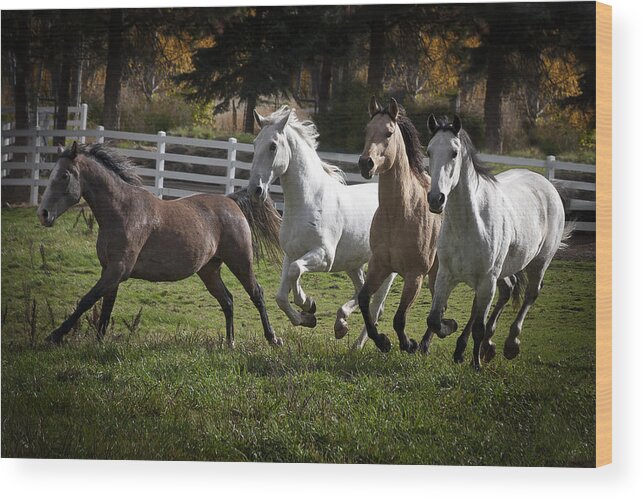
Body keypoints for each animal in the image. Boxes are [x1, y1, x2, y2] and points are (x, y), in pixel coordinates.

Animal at [38, 142, 282, 348]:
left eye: (64, 175)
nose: (43, 214)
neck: (122, 212)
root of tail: (231, 201)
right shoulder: (109, 270)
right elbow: (106, 307)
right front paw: (98, 342)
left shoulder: (117, 270)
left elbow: (87, 300)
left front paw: (54, 336)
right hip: (209, 269)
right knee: (228, 300)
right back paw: (230, 343)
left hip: (240, 262)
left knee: (257, 294)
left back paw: (272, 339)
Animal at [249, 107, 394, 350]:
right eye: (254, 143)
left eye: (273, 146)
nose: (255, 190)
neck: (308, 201)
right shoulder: (291, 254)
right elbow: (281, 295)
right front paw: (307, 317)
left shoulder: (324, 256)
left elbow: (295, 271)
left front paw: (307, 303)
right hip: (353, 264)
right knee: (362, 292)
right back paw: (342, 326)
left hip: (388, 268)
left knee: (375, 306)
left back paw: (356, 343)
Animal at [358, 97, 458, 354]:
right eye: (366, 130)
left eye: (388, 132)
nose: (365, 163)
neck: (399, 215)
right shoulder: (379, 265)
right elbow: (364, 301)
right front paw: (382, 341)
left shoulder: (415, 276)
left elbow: (399, 318)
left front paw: (407, 344)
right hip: (436, 275)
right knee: (438, 308)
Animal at [422, 115, 568, 370]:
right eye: (429, 151)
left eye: (454, 153)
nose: (435, 199)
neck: (469, 223)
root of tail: (547, 184)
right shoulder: (445, 275)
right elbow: (434, 318)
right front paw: (450, 327)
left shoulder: (486, 280)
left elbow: (478, 326)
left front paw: (476, 365)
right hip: (502, 271)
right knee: (507, 290)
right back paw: (485, 346)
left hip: (539, 262)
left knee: (530, 294)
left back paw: (511, 344)